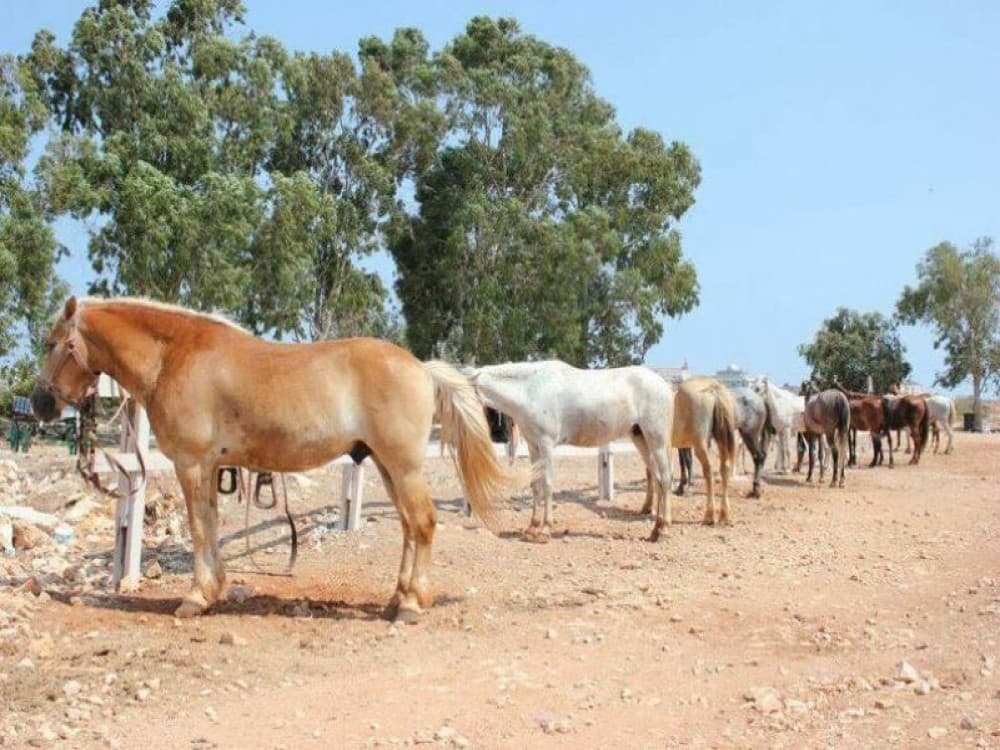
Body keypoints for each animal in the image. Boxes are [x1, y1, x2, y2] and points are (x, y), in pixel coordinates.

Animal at [31, 297, 518, 623]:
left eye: (53, 343)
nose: (39, 403)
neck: (174, 355)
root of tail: (421, 367)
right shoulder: (211, 468)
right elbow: (209, 524)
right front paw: (213, 590)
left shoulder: (191, 464)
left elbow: (198, 528)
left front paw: (195, 597)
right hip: (384, 464)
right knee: (407, 527)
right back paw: (398, 598)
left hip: (404, 466)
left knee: (423, 523)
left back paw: (413, 604)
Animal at [464, 360, 674, 541]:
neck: (530, 390)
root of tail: (663, 385)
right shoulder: (533, 446)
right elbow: (535, 484)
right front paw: (532, 527)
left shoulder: (546, 444)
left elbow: (547, 484)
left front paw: (545, 529)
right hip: (640, 438)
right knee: (657, 479)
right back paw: (655, 530)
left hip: (657, 440)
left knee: (665, 479)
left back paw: (664, 529)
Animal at [672, 377, 737, 525]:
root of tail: (713, 388)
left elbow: (685, 462)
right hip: (720, 439)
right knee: (725, 468)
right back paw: (724, 515)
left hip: (700, 443)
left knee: (708, 469)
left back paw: (709, 515)